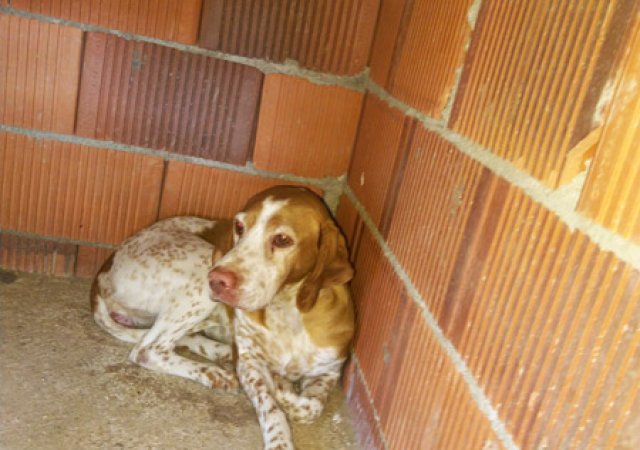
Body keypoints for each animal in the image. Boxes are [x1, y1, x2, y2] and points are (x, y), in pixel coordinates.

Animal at [91, 185, 355, 450]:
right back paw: (216, 372)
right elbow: (271, 406)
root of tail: (104, 270)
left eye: (282, 239)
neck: (286, 311)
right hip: (202, 266)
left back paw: (222, 354)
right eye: (239, 226)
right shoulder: (250, 365)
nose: (217, 279)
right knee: (148, 349)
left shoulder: (329, 371)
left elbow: (310, 408)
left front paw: (283, 385)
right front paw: (279, 432)